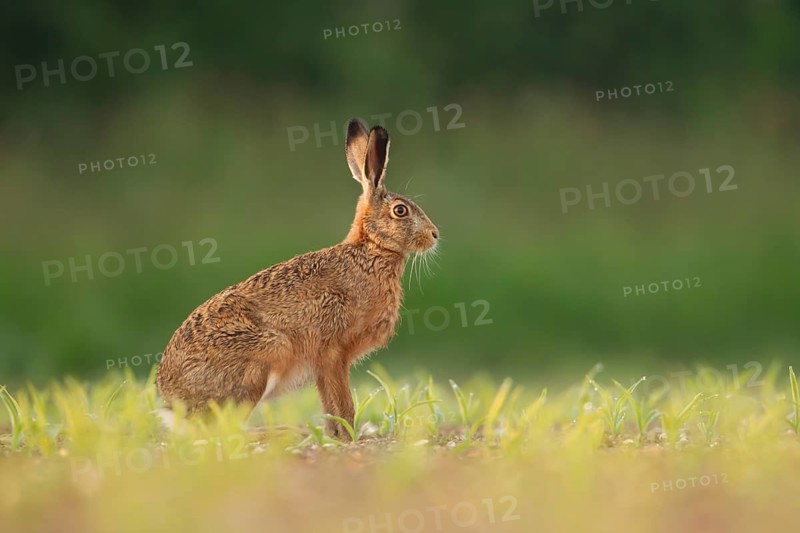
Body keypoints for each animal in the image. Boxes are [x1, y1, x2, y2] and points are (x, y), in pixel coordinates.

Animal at [156, 118, 439, 439]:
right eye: (400, 211)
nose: (435, 235)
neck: (371, 250)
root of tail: (174, 401)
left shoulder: (325, 364)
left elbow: (330, 405)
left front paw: (336, 436)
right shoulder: (333, 352)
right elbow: (343, 403)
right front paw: (349, 437)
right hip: (267, 355)